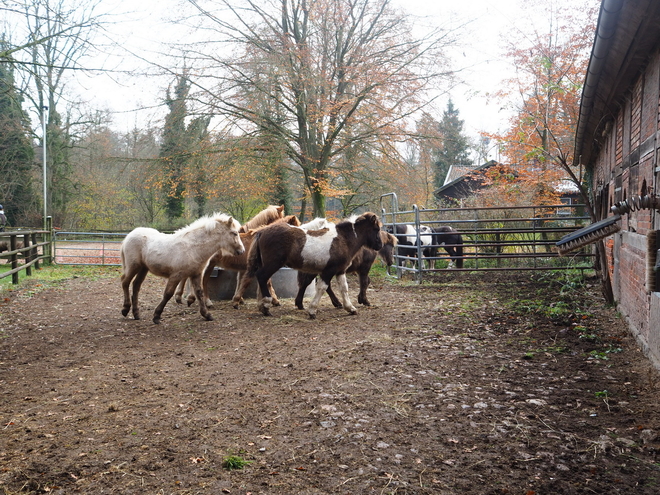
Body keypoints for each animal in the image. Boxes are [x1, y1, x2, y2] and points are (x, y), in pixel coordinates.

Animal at [241, 211, 382, 320]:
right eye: (376, 229)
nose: (379, 245)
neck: (343, 240)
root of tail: (262, 231)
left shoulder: (340, 271)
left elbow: (344, 288)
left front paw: (350, 308)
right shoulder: (328, 271)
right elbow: (322, 288)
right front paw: (312, 311)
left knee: (263, 279)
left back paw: (262, 306)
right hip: (273, 264)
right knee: (262, 277)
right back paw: (266, 307)